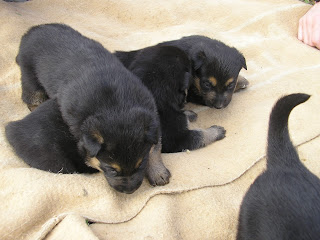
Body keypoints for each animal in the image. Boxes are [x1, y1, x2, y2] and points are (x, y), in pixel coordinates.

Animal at [10, 23, 170, 194]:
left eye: (140, 164)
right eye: (112, 169)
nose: (129, 191)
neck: (117, 108)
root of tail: (32, 30)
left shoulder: (153, 122)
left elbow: (155, 149)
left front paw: (158, 172)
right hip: (29, 73)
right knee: (31, 94)